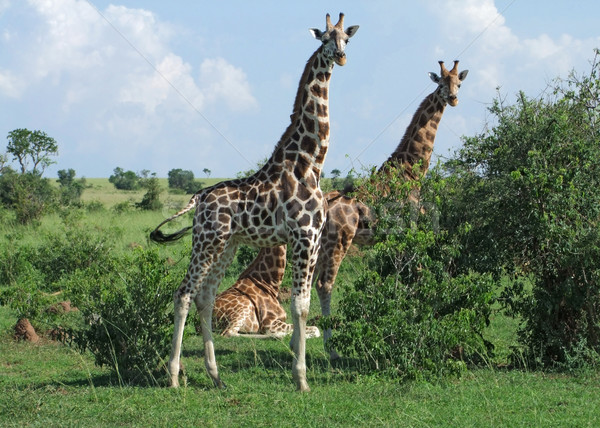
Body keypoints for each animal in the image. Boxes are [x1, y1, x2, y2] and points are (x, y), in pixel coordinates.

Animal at [149, 13, 356, 392]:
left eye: (346, 38)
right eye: (324, 38)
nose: (341, 56)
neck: (311, 163)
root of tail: (198, 198)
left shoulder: (314, 238)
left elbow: (303, 304)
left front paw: (297, 367)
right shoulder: (303, 236)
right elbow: (300, 305)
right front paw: (301, 378)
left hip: (226, 245)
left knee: (205, 297)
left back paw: (216, 376)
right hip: (207, 240)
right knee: (183, 294)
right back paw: (173, 375)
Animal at [314, 60, 468, 358]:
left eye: (458, 82)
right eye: (442, 83)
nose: (454, 99)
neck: (412, 170)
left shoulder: (397, 239)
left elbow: (401, 280)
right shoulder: (411, 230)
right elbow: (416, 277)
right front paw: (417, 326)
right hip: (338, 242)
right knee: (324, 285)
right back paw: (332, 350)